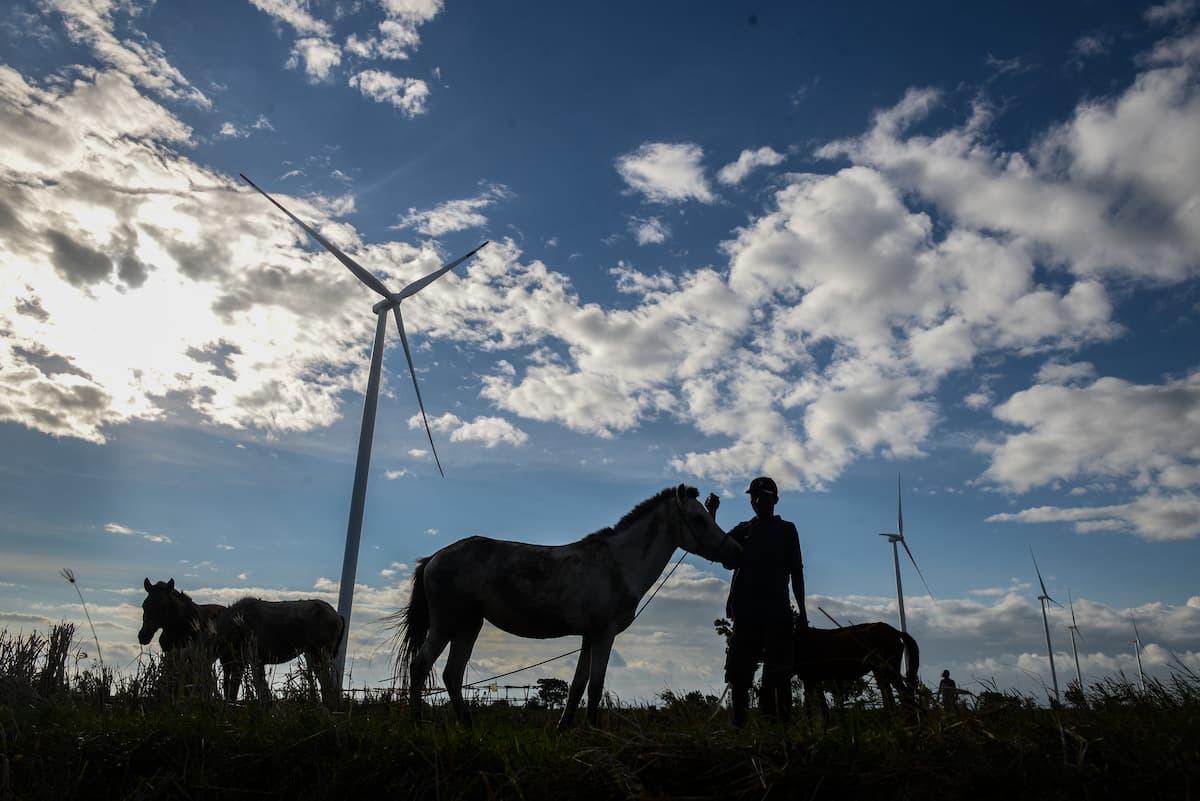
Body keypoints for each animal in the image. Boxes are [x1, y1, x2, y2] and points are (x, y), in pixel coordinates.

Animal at [391, 484, 739, 729]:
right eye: (698, 519)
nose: (735, 552)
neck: (617, 563)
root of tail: (434, 558)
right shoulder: (604, 634)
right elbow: (595, 687)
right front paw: (594, 733)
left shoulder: (589, 636)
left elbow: (578, 685)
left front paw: (565, 728)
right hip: (447, 624)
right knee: (421, 666)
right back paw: (417, 725)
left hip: (468, 625)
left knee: (451, 674)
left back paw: (467, 726)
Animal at [792, 618, 921, 714]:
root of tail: (896, 632)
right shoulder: (812, 679)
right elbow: (818, 708)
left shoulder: (809, 678)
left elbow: (810, 709)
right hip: (880, 671)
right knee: (890, 696)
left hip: (888, 669)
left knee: (904, 694)